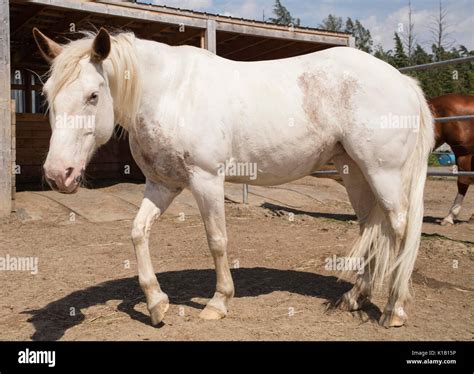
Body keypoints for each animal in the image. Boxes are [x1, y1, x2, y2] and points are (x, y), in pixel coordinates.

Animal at [32, 28, 434, 328]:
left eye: (93, 95)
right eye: (47, 95)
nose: (57, 174)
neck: (169, 93)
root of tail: (403, 81)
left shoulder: (206, 181)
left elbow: (217, 240)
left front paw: (218, 302)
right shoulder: (163, 185)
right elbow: (137, 232)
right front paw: (157, 303)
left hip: (383, 173)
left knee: (399, 229)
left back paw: (394, 309)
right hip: (355, 173)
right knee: (372, 229)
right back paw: (354, 298)